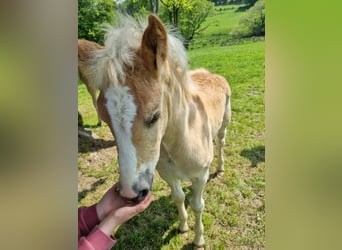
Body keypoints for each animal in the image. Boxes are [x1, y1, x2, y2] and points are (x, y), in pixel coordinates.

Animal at [84, 14, 231, 247]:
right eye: (105, 119)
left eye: (155, 116)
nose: (131, 193)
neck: (179, 144)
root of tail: (212, 75)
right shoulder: (168, 175)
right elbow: (179, 198)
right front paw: (182, 227)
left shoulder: (200, 177)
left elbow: (197, 205)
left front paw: (198, 240)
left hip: (224, 125)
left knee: (221, 144)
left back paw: (220, 167)